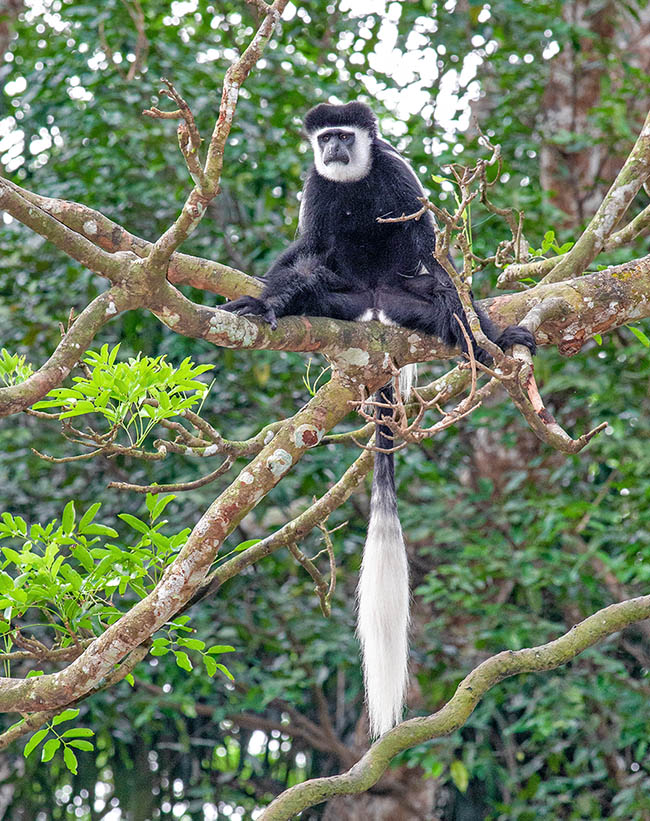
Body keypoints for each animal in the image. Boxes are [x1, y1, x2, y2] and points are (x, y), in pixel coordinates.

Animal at [221, 102, 532, 736]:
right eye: (325, 138)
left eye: (345, 135)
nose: (333, 149)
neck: (353, 181)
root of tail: (373, 305)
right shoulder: (316, 187)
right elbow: (306, 247)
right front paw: (265, 295)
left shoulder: (392, 171)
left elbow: (429, 243)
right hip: (337, 300)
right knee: (310, 274)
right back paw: (271, 305)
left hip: (405, 295)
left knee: (444, 298)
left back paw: (492, 341)